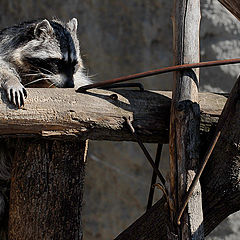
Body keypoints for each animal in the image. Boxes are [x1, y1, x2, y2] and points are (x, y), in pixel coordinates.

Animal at [0, 18, 91, 229]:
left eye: (74, 64)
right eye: (57, 62)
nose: (68, 86)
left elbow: (81, 82)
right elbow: (2, 67)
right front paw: (11, 80)